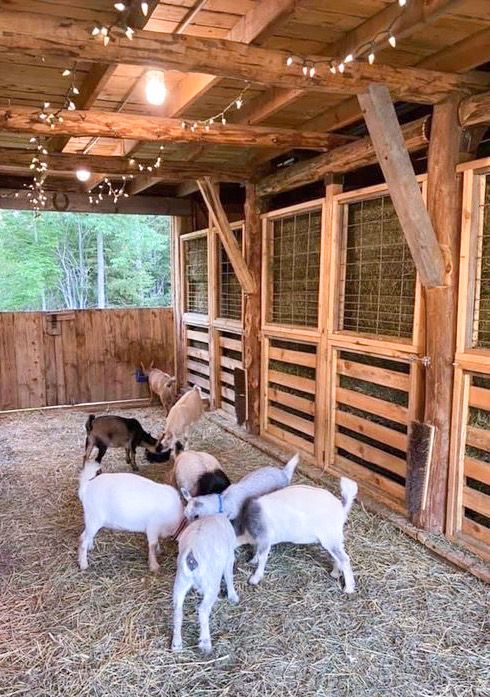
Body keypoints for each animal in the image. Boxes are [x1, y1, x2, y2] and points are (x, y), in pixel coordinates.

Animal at [171, 512, 238, 656]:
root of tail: (191, 554)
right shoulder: (229, 557)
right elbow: (229, 575)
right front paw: (233, 596)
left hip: (181, 581)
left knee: (177, 610)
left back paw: (176, 644)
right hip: (211, 582)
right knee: (202, 610)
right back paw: (205, 644)